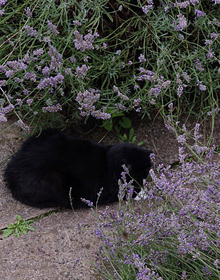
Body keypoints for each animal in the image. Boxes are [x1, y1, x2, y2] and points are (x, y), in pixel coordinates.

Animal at [3, 129, 151, 208]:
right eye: (140, 175)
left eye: (146, 173)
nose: (144, 181)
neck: (107, 161)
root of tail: (10, 170)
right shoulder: (109, 191)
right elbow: (130, 192)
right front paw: (147, 193)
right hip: (52, 178)